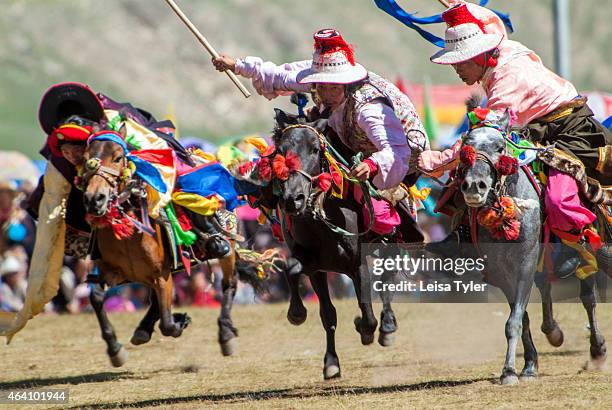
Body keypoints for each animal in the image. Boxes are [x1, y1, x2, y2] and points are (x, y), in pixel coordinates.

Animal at [82, 123, 253, 364]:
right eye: (86, 158)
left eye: (117, 158)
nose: (94, 199)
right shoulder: (115, 271)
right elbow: (96, 297)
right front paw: (115, 348)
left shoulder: (160, 275)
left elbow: (167, 323)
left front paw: (180, 321)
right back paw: (143, 329)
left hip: (226, 249)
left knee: (229, 283)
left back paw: (226, 334)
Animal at [456, 107, 604, 382]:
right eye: (465, 148)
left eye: (499, 146)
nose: (473, 186)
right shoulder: (501, 272)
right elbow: (520, 317)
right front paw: (528, 364)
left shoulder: (525, 262)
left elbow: (513, 320)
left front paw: (509, 371)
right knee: (546, 287)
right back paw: (553, 331)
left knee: (588, 298)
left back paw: (597, 349)